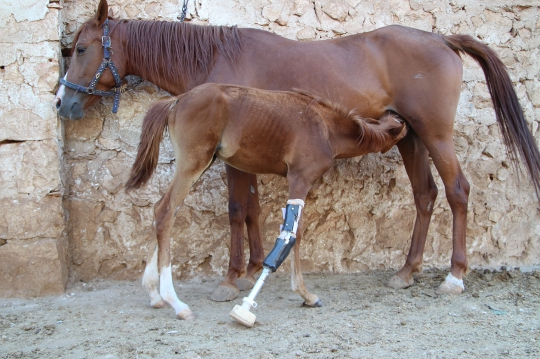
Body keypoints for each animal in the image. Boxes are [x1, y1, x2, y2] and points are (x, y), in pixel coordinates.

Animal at [53, 0, 540, 304]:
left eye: (81, 49)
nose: (61, 103)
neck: (214, 59)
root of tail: (442, 40)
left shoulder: (232, 161)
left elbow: (236, 210)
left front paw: (230, 279)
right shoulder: (246, 158)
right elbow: (251, 210)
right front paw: (252, 268)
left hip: (435, 136)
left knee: (457, 191)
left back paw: (455, 276)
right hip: (410, 138)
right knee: (425, 196)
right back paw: (407, 271)